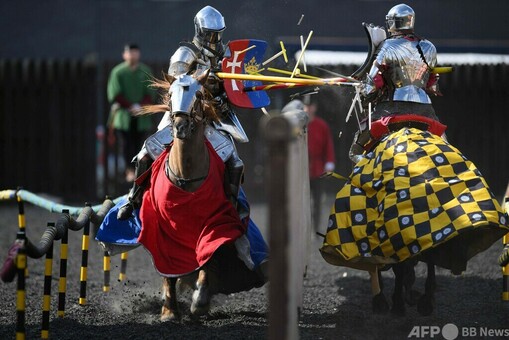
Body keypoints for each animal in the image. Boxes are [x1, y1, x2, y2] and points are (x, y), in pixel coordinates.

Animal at [137, 71, 268, 322]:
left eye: (198, 95)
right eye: (170, 94)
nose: (180, 126)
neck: (186, 174)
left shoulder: (214, 223)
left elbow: (209, 256)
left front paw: (200, 302)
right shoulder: (163, 231)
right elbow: (168, 268)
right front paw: (169, 310)